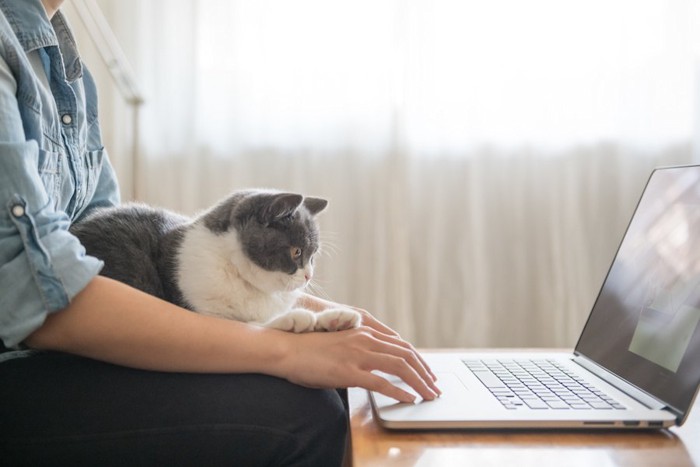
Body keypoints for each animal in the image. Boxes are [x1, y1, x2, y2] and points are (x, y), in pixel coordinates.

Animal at [71, 190, 360, 332]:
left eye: (313, 255)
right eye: (297, 252)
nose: (308, 275)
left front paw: (337, 318)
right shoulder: (203, 313)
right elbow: (246, 324)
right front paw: (294, 319)